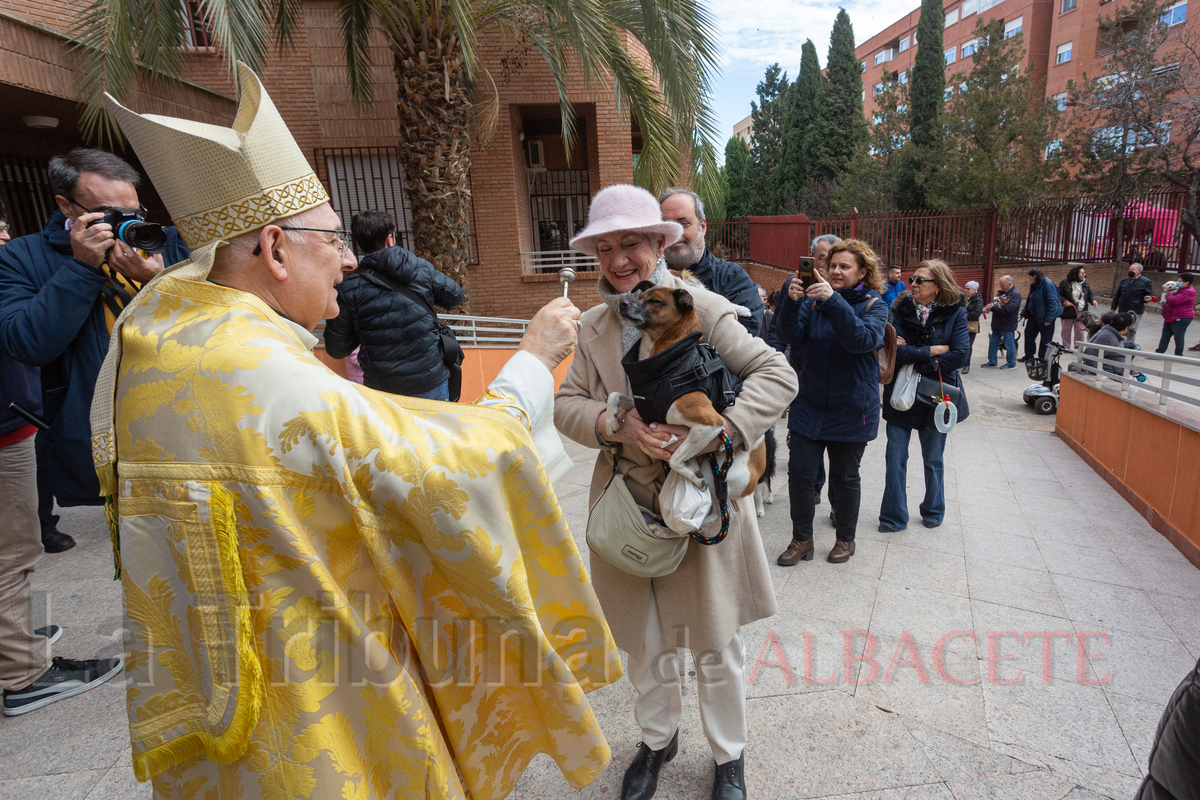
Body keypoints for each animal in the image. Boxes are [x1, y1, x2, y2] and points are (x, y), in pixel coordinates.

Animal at [604, 280, 763, 494]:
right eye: (640, 296)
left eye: (655, 301)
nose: (623, 304)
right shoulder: (643, 405)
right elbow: (614, 395)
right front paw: (611, 422)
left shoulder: (711, 423)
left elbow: (674, 459)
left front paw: (695, 478)